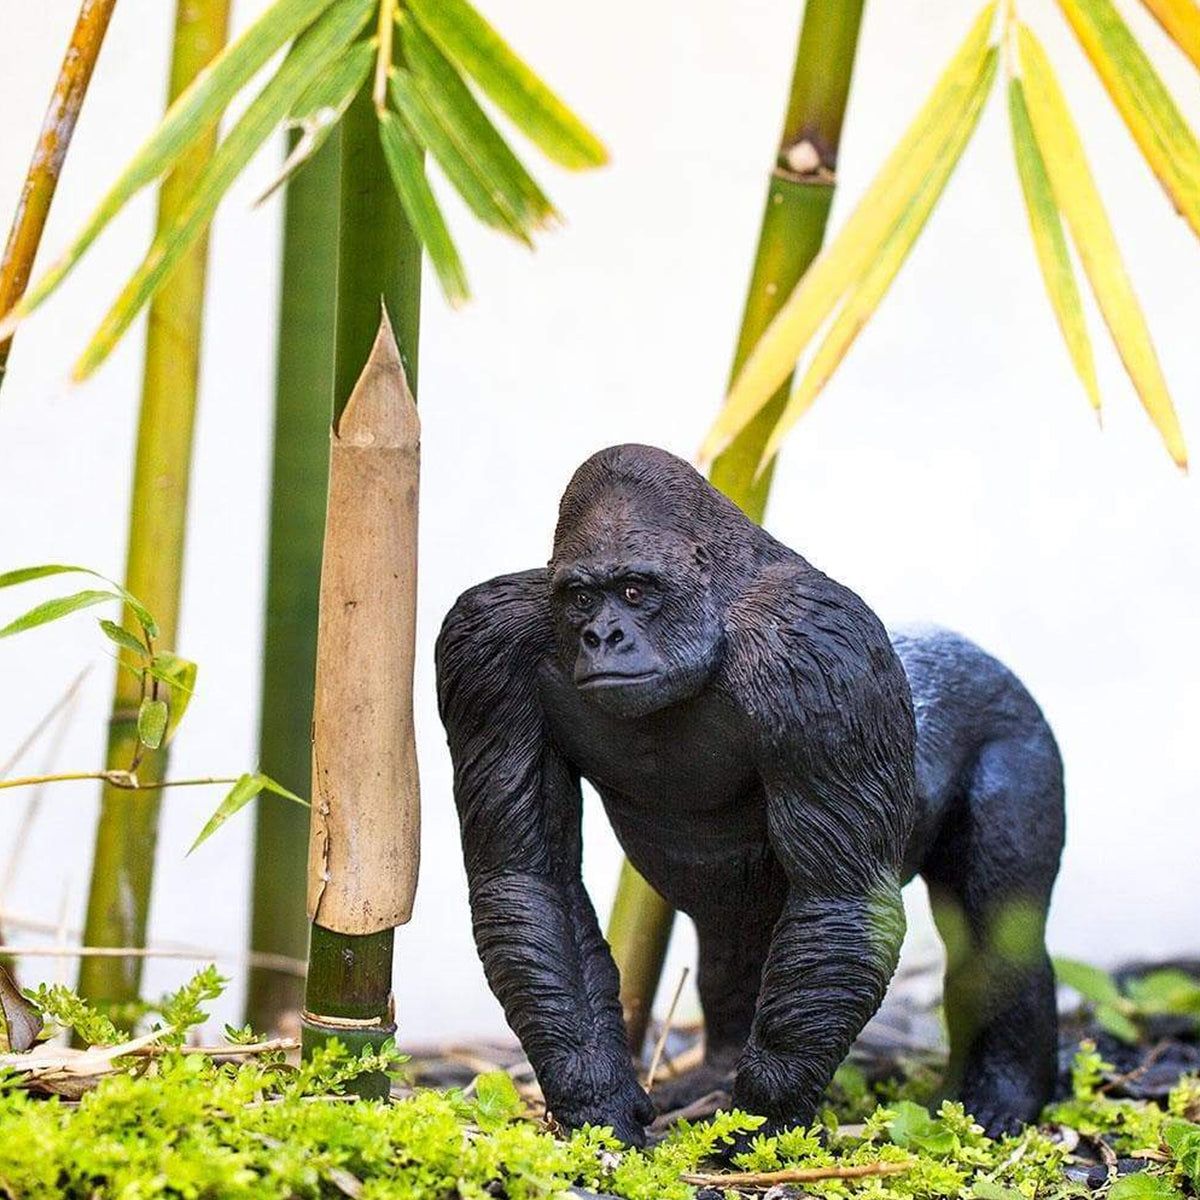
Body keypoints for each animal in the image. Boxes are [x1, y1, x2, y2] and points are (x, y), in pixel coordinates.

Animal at [435, 444, 1064, 1146]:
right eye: (579, 598)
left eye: (633, 591)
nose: (603, 638)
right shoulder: (485, 651)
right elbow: (529, 879)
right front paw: (594, 1094)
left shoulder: (820, 654)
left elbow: (839, 898)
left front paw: (771, 1110)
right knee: (732, 934)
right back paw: (713, 1072)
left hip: (1016, 730)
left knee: (996, 925)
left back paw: (1002, 1091)